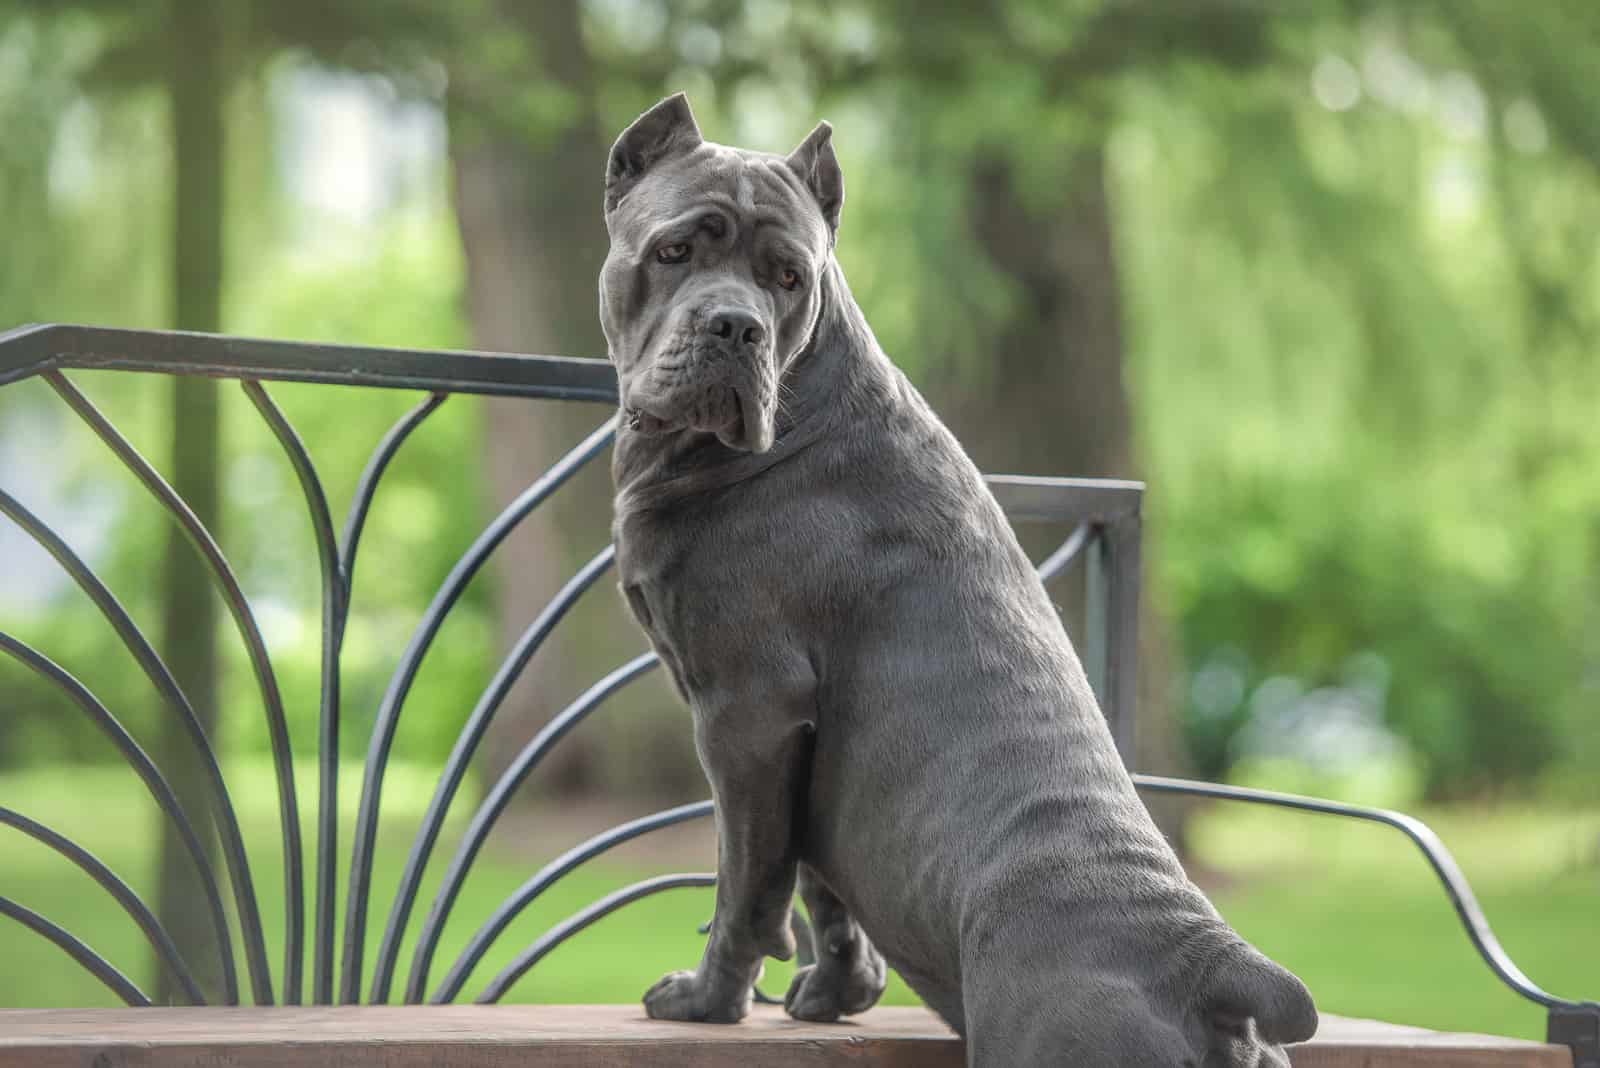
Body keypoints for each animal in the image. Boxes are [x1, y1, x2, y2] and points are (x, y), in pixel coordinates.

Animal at [601, 93, 1312, 1068]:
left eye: (787, 278)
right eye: (675, 250)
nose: (736, 325)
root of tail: (1209, 971)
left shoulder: (748, 713)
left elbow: (746, 882)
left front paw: (709, 1001)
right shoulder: (809, 746)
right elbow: (823, 887)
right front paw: (835, 995)